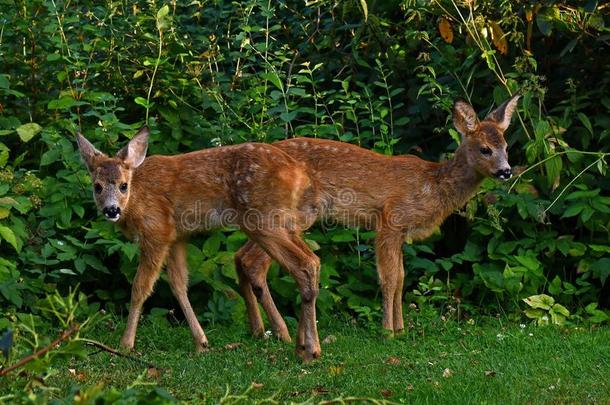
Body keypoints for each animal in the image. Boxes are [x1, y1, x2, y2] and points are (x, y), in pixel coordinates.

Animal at [75, 126, 324, 360]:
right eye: (97, 186)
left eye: (123, 185)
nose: (111, 210)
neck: (136, 198)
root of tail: (300, 174)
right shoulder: (176, 238)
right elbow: (179, 285)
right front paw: (201, 343)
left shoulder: (156, 232)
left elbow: (140, 288)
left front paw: (125, 344)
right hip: (285, 223)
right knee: (313, 260)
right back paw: (300, 344)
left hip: (264, 221)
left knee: (305, 264)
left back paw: (310, 350)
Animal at [233, 94, 516, 338]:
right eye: (485, 149)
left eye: (506, 147)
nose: (506, 171)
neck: (433, 185)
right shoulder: (390, 220)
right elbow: (388, 279)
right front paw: (387, 331)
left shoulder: (401, 232)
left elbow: (401, 278)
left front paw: (401, 329)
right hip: (292, 215)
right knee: (253, 262)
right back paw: (281, 332)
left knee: (239, 256)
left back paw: (258, 329)